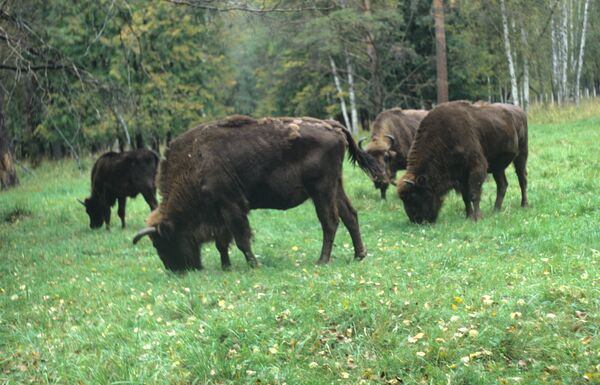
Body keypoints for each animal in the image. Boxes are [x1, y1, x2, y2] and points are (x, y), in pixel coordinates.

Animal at [133, 115, 382, 272]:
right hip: (335, 187)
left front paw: (254, 265)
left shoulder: (231, 206)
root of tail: (333, 126)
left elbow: (242, 240)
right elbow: (223, 242)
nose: (176, 269)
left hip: (321, 189)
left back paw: (322, 260)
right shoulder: (220, 214)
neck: (195, 160)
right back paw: (359, 255)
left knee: (330, 221)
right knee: (350, 215)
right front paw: (226, 266)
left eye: (161, 242)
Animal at [396, 100, 528, 224]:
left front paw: (477, 217)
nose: (416, 220)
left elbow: (474, 194)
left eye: (414, 195)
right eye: (403, 199)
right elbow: (466, 196)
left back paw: (524, 205)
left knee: (522, 180)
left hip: (521, 156)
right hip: (498, 167)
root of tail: (520, 111)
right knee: (502, 185)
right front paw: (468, 216)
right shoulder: (461, 175)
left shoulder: (477, 168)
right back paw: (495, 210)